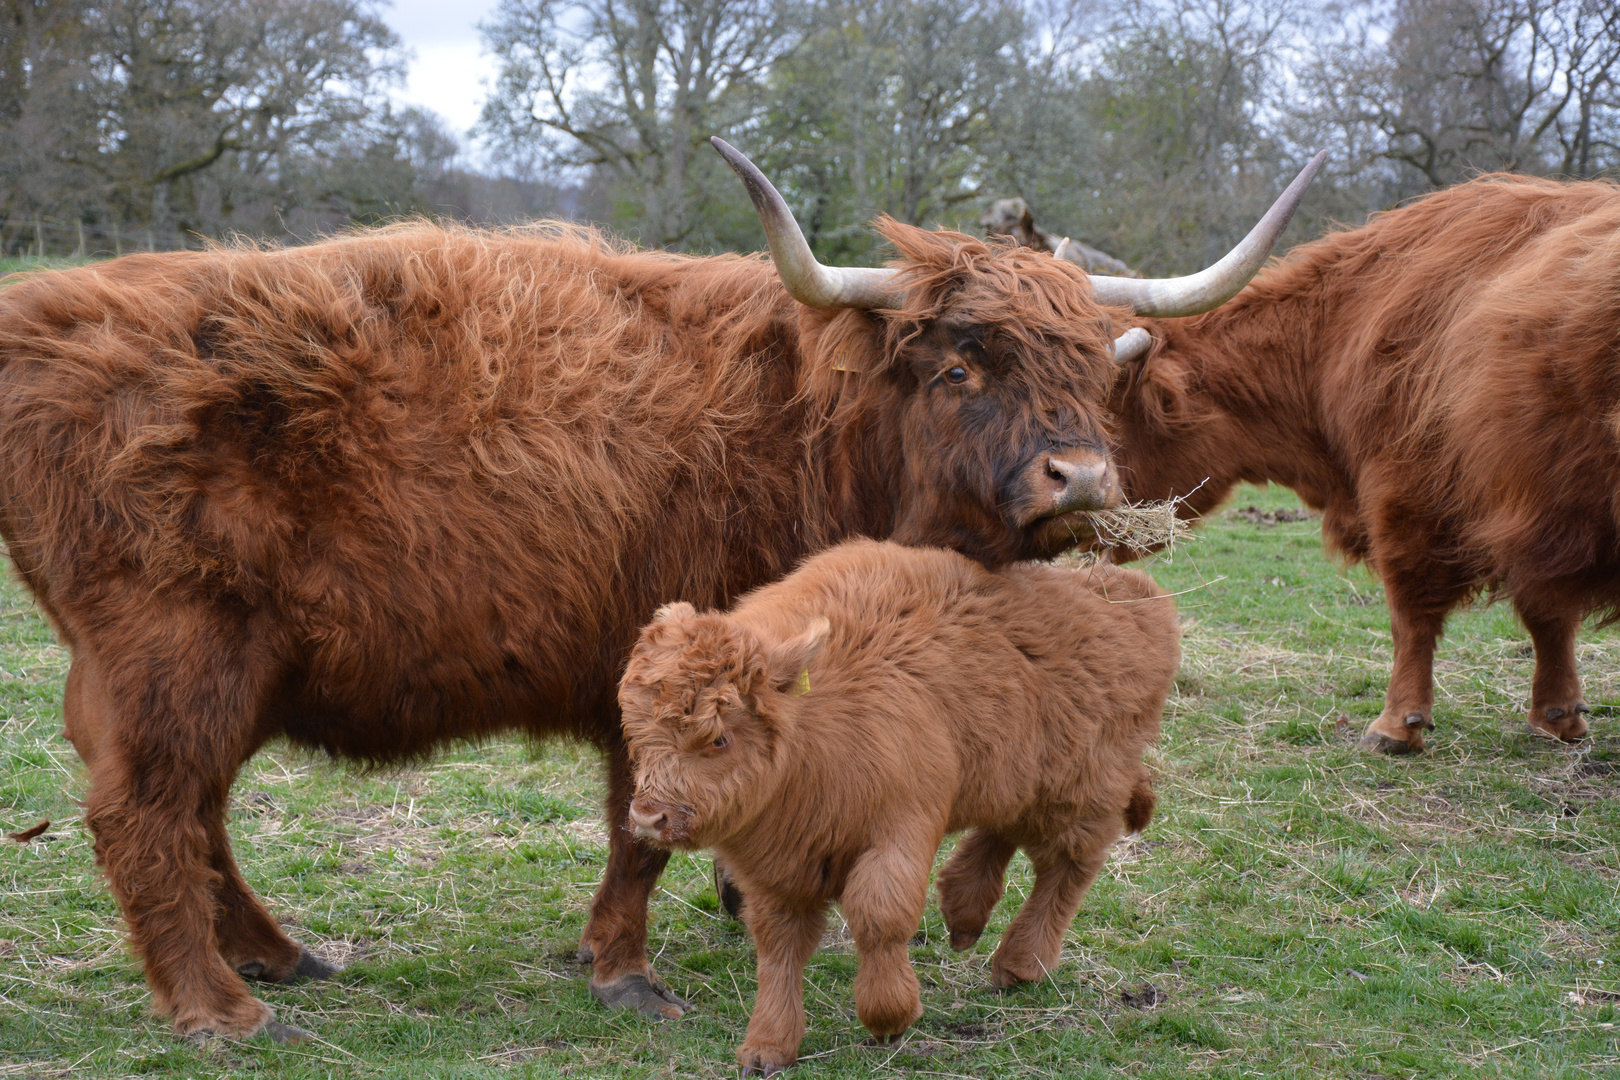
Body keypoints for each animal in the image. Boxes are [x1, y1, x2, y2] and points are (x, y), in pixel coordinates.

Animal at [618, 537, 1179, 1075]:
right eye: (637, 732)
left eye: (718, 738)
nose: (649, 817)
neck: (814, 722)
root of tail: (1138, 597)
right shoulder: (782, 868)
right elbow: (779, 945)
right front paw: (767, 1046)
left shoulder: (897, 831)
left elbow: (879, 915)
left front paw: (889, 1016)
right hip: (1012, 774)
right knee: (1005, 831)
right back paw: (964, 914)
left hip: (1080, 790)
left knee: (1066, 867)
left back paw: (1018, 964)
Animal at [1108, 173, 1620, 757]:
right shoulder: (1529, 510)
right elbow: (1547, 612)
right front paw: (1558, 717)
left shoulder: (1405, 493)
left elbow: (1410, 613)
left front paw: (1396, 725)